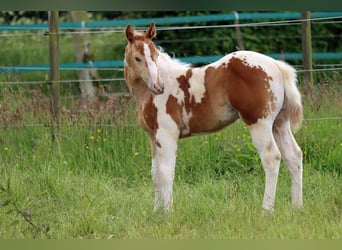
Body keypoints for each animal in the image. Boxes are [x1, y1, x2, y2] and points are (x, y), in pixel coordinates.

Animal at [124, 23, 304, 213]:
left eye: (156, 55)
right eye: (137, 58)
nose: (158, 86)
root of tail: (276, 65)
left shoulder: (167, 135)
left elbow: (166, 173)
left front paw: (167, 212)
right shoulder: (153, 137)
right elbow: (155, 174)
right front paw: (156, 211)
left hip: (259, 123)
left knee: (271, 157)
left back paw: (266, 211)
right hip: (279, 123)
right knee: (293, 156)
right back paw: (297, 207)